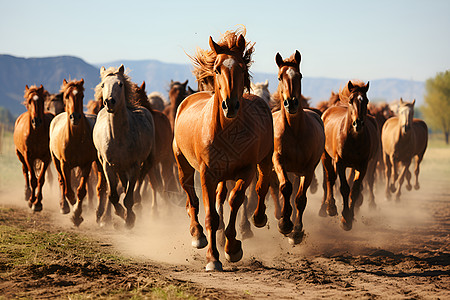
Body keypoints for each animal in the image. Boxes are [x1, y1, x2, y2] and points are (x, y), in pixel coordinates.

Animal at [49, 78, 106, 226]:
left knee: (100, 187)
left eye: (82, 96)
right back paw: (64, 206)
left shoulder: (86, 165)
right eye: (66, 96)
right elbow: (68, 189)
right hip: (55, 160)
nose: (75, 117)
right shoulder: (64, 164)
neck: (74, 137)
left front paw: (77, 215)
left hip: (98, 163)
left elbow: (81, 191)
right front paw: (72, 206)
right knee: (61, 181)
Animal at [92, 63, 156, 227]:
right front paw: (120, 213)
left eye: (120, 84)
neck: (118, 137)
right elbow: (113, 195)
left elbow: (128, 196)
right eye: (103, 84)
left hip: (142, 163)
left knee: (134, 185)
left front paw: (130, 219)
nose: (109, 101)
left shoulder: (134, 165)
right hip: (117, 166)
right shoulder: (108, 165)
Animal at [174, 29, 274, 272]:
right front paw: (212, 258)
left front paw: (232, 247)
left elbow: (235, 201)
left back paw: (258, 218)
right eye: (218, 68)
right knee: (191, 196)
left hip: (264, 161)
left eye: (242, 68)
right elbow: (211, 214)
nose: (230, 105)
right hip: (183, 163)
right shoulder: (207, 174)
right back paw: (197, 235)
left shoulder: (246, 171)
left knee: (262, 185)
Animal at [268, 50, 326, 245]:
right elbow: (285, 188)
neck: (294, 131)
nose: (291, 103)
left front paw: (296, 231)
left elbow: (300, 199)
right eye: (279, 77)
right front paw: (284, 224)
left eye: (299, 76)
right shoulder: (278, 161)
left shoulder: (307, 169)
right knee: (274, 189)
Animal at [318, 79, 378, 230]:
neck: (353, 138)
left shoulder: (362, 166)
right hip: (326, 157)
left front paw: (350, 217)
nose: (358, 123)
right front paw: (344, 219)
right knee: (329, 179)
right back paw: (329, 208)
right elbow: (344, 188)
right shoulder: (340, 163)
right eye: (351, 100)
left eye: (366, 100)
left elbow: (354, 189)